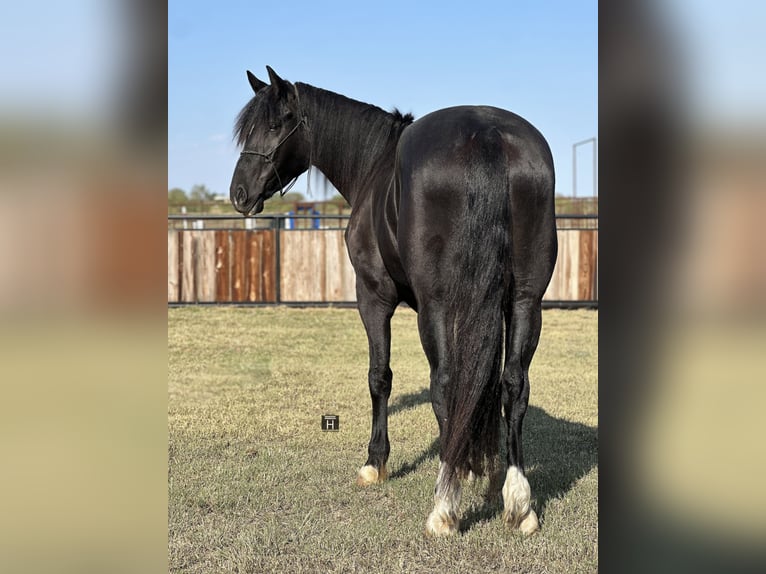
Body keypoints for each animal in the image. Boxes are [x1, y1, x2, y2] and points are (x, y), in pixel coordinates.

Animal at [230, 67, 560, 540]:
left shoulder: (372, 296)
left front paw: (375, 463)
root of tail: (488, 134)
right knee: (514, 385)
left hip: (437, 306)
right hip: (525, 302)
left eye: (276, 124)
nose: (238, 193)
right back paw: (519, 504)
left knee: (444, 383)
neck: (375, 165)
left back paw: (444, 507)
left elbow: (379, 377)